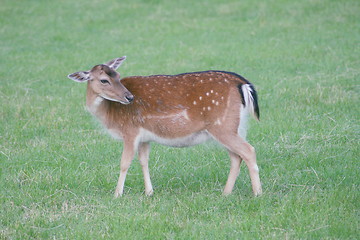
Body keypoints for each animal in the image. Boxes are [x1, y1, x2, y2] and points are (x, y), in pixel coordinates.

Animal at [67, 56, 262, 197]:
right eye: (104, 80)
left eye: (118, 76)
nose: (129, 97)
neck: (109, 114)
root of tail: (241, 83)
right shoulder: (144, 137)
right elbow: (144, 161)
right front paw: (149, 192)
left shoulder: (130, 130)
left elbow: (124, 163)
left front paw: (117, 194)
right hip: (234, 127)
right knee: (236, 157)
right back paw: (226, 193)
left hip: (222, 126)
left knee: (248, 150)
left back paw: (257, 193)